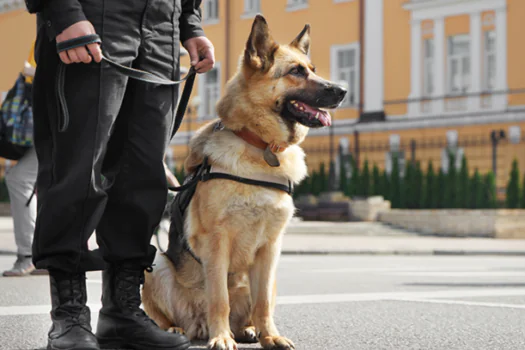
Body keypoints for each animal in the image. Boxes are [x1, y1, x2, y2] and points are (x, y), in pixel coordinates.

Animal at [143, 14, 346, 350]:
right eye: (296, 72)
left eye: (313, 69)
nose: (343, 90)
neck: (260, 147)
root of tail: (196, 326)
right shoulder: (216, 242)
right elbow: (219, 298)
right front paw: (221, 337)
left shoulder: (271, 249)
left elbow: (262, 302)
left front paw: (270, 336)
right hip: (156, 264)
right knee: (164, 314)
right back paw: (174, 330)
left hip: (272, 276)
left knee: (254, 306)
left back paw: (249, 330)